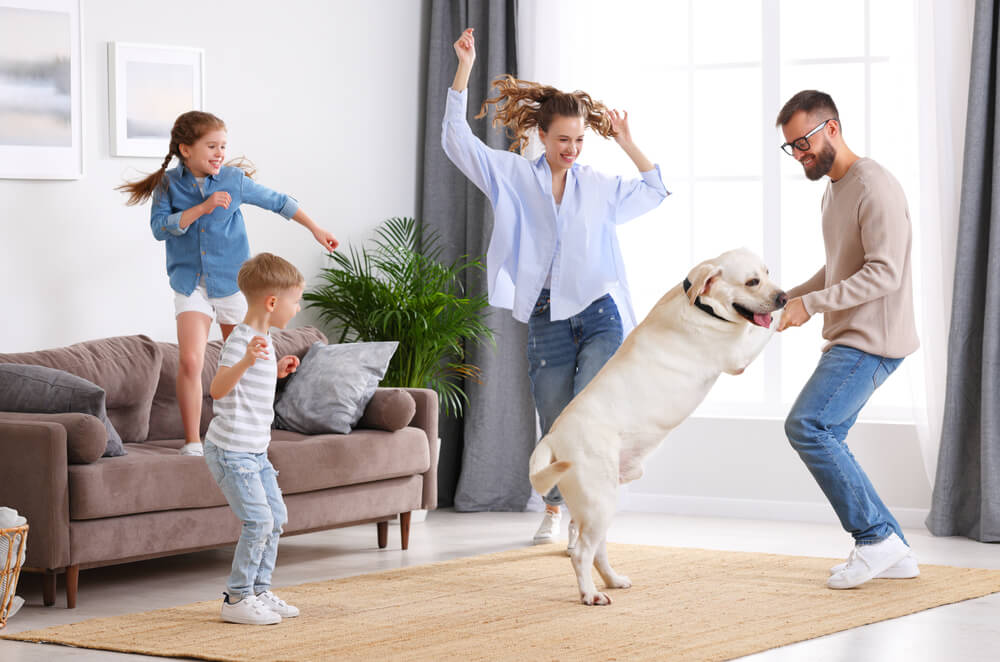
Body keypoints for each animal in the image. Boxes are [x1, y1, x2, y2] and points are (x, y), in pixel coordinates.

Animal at [532, 249, 788, 608]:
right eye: (752, 282)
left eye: (768, 273)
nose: (783, 296)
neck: (700, 305)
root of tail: (553, 437)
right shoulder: (738, 354)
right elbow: (772, 325)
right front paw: (803, 299)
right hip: (598, 503)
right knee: (581, 553)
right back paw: (590, 594)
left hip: (601, 507)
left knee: (598, 551)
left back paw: (613, 581)